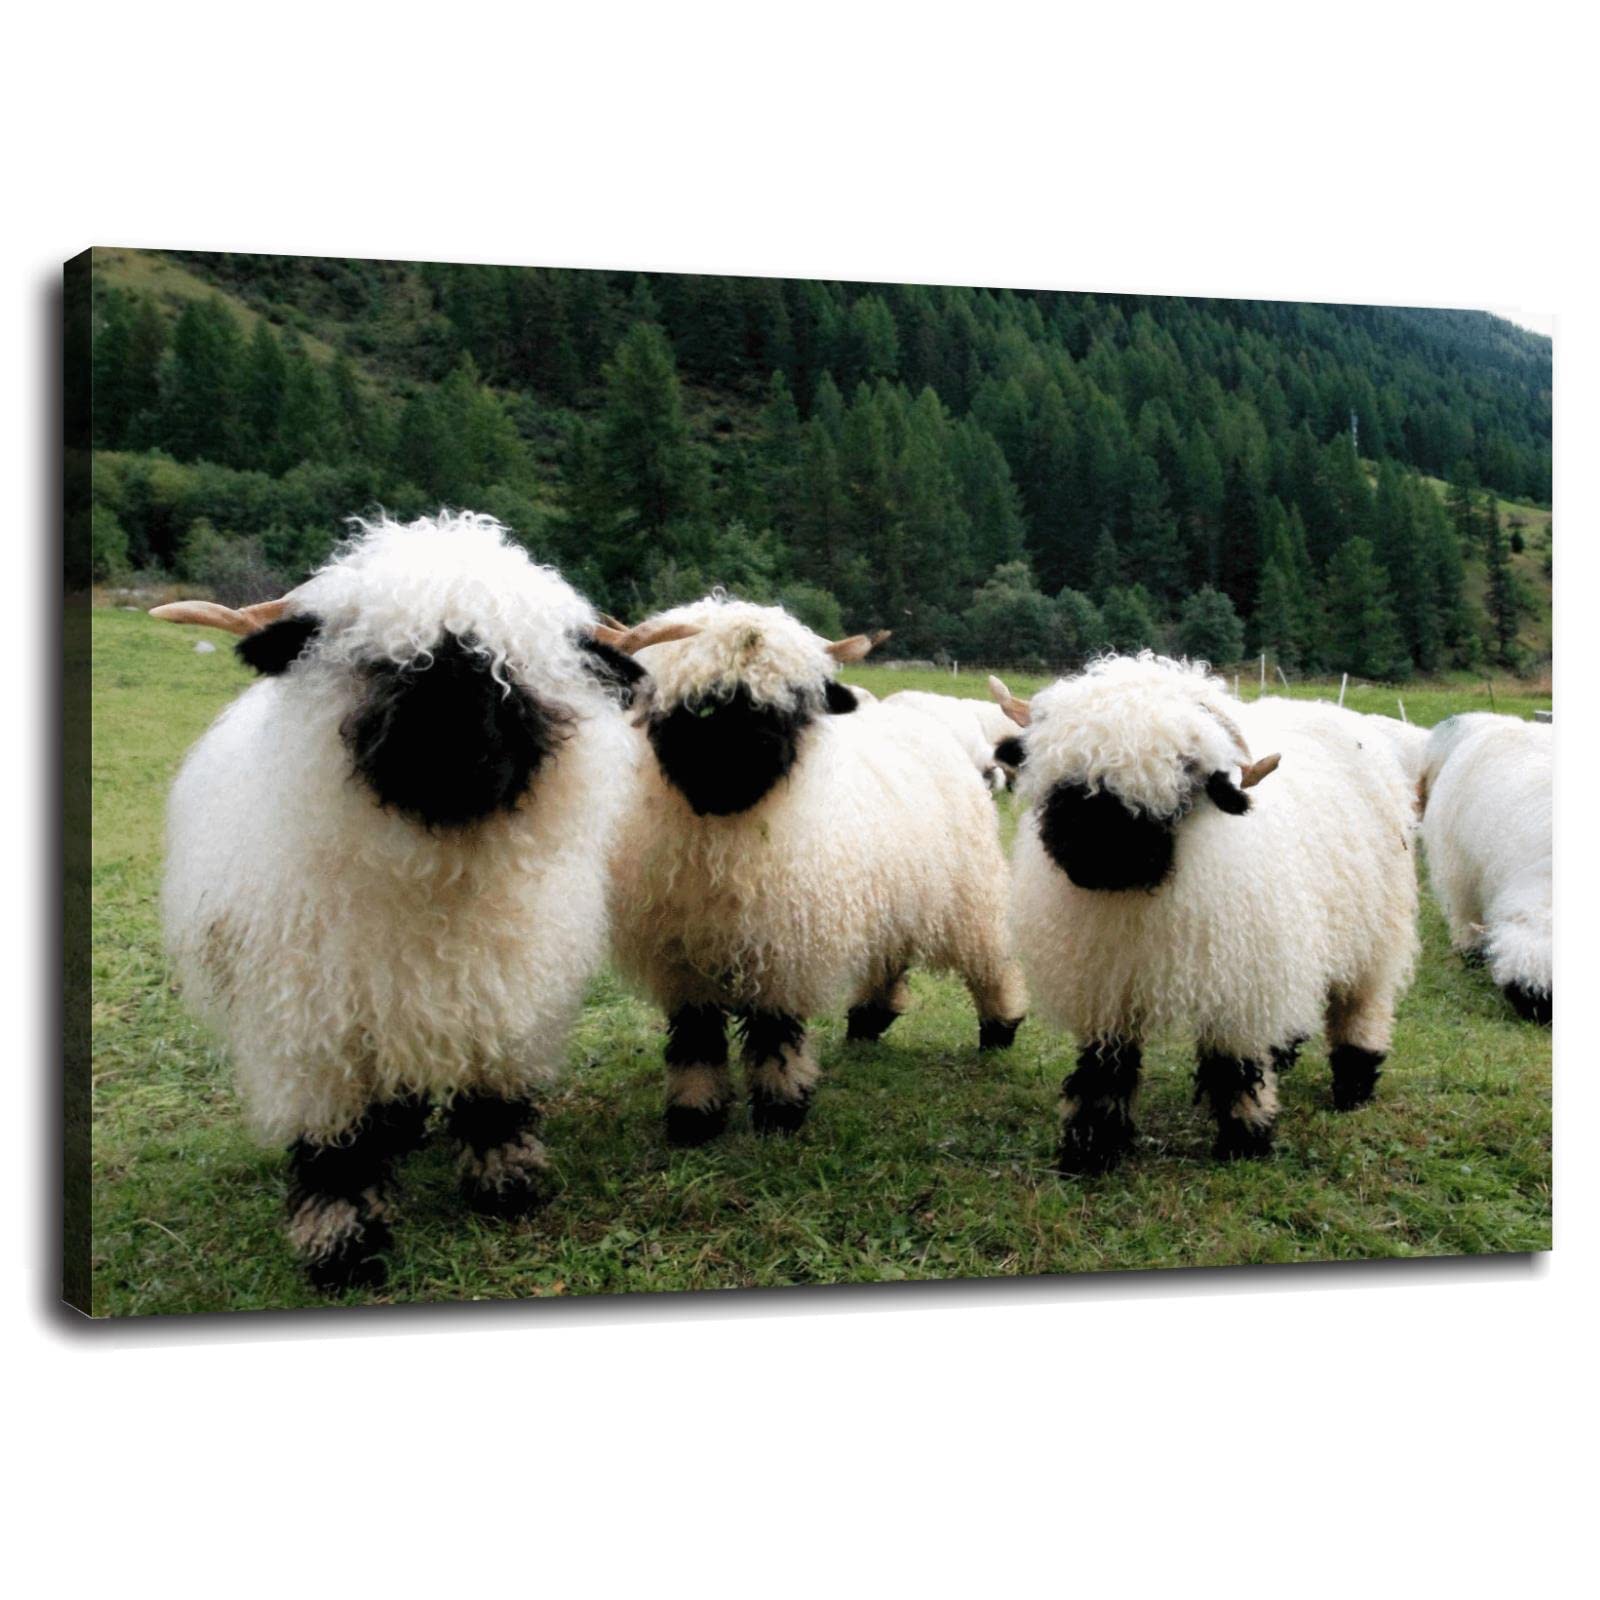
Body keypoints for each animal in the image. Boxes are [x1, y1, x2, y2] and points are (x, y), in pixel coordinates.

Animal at [152, 512, 677, 1290]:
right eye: (384, 662)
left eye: (511, 671)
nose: (453, 757)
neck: (432, 873)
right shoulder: (315, 1027)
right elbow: (333, 1142)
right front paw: (341, 1243)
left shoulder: (499, 995)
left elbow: (493, 1095)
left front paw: (505, 1186)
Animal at [607, 596, 1027, 1144]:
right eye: (703, 704)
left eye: (791, 705)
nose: (749, 759)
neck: (726, 833)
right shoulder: (680, 955)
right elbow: (696, 1038)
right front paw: (694, 1116)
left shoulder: (784, 946)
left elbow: (775, 1033)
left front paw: (780, 1111)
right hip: (888, 894)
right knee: (889, 955)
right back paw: (867, 1021)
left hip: (967, 890)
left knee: (989, 959)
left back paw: (1000, 1027)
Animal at [990, 653, 1419, 1173]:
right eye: (1066, 776)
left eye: (1183, 776)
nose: (1095, 857)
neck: (1138, 898)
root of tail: (1322, 708)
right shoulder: (1107, 981)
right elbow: (1104, 1067)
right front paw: (1091, 1149)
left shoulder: (1238, 980)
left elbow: (1234, 1066)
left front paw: (1246, 1141)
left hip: (1376, 930)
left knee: (1362, 1004)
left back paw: (1354, 1084)